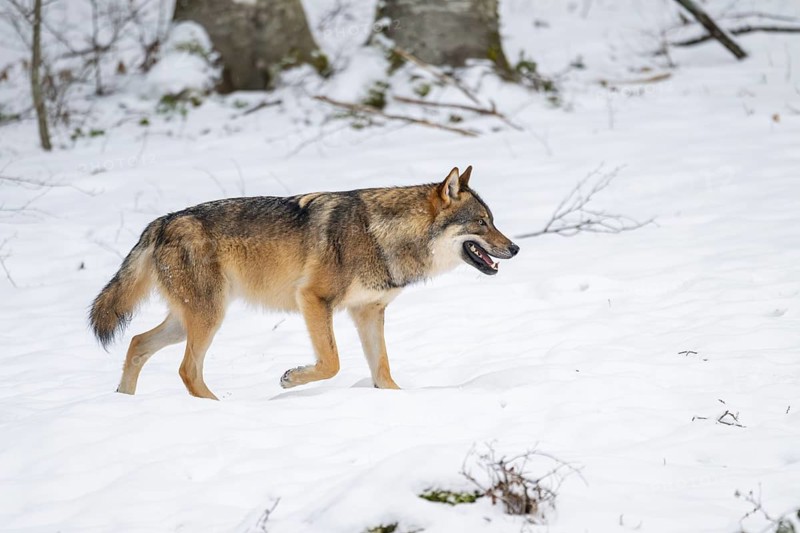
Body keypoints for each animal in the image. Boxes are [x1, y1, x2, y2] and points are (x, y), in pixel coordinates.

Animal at [89, 166, 519, 399]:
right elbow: (331, 363)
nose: (515, 248)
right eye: (482, 223)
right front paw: (290, 379)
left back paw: (124, 402)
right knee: (186, 370)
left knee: (137, 343)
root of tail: (161, 222)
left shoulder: (368, 313)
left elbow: (382, 371)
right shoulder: (313, 299)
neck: (382, 235)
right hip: (208, 318)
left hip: (187, 321)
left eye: (493, 220)